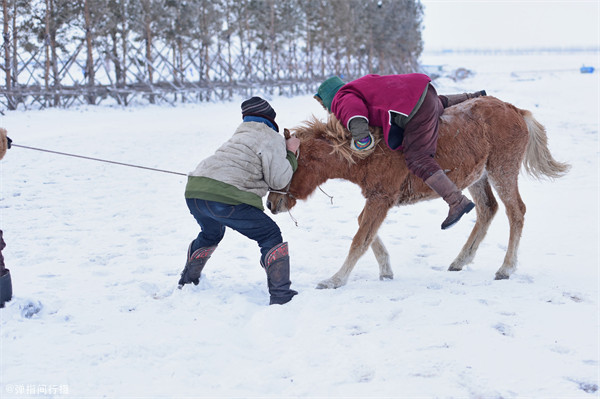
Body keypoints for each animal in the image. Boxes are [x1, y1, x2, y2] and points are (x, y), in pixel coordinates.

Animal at [268, 97, 572, 290]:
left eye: (288, 165)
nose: (271, 203)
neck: (370, 150)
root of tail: (516, 110)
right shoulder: (377, 198)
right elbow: (365, 230)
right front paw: (386, 271)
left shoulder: (381, 198)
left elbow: (360, 239)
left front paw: (334, 280)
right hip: (477, 176)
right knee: (487, 209)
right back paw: (460, 261)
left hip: (502, 171)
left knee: (515, 212)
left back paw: (505, 269)